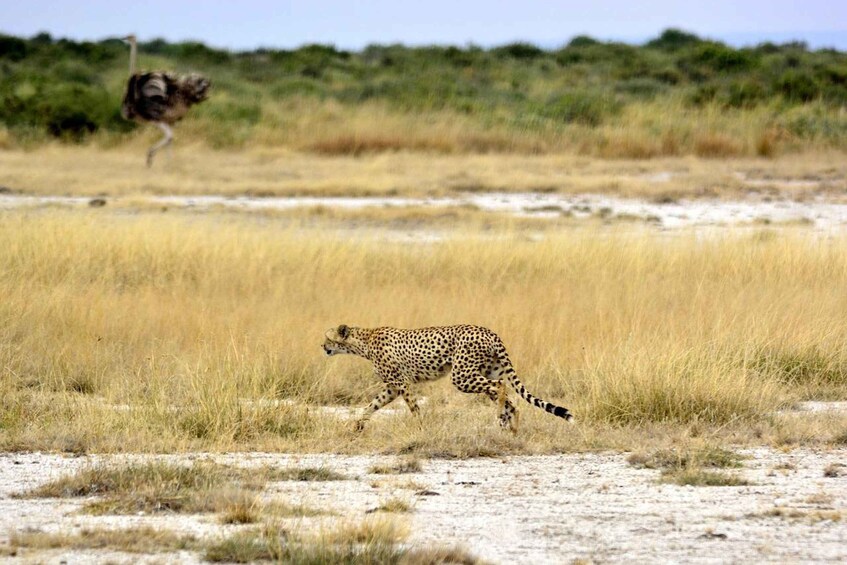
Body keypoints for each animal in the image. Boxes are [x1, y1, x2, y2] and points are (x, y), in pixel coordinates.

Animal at [322, 322, 572, 432]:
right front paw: (356, 425)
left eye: (328, 338)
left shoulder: (401, 383)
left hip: (461, 376)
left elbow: (414, 408)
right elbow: (372, 405)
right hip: (484, 371)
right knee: (510, 397)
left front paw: (421, 428)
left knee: (500, 386)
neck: (364, 341)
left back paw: (501, 419)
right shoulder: (392, 387)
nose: (322, 346)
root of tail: (489, 331)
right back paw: (511, 428)